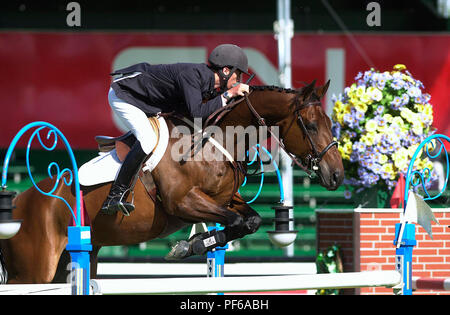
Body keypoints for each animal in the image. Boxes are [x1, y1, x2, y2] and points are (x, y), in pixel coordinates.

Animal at [0, 81, 344, 284]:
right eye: (311, 125)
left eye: (330, 122)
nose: (337, 175)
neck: (214, 143)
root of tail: (19, 201)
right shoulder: (183, 202)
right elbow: (235, 221)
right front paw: (189, 245)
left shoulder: (223, 200)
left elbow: (250, 220)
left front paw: (197, 243)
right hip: (35, 271)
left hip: (75, 261)